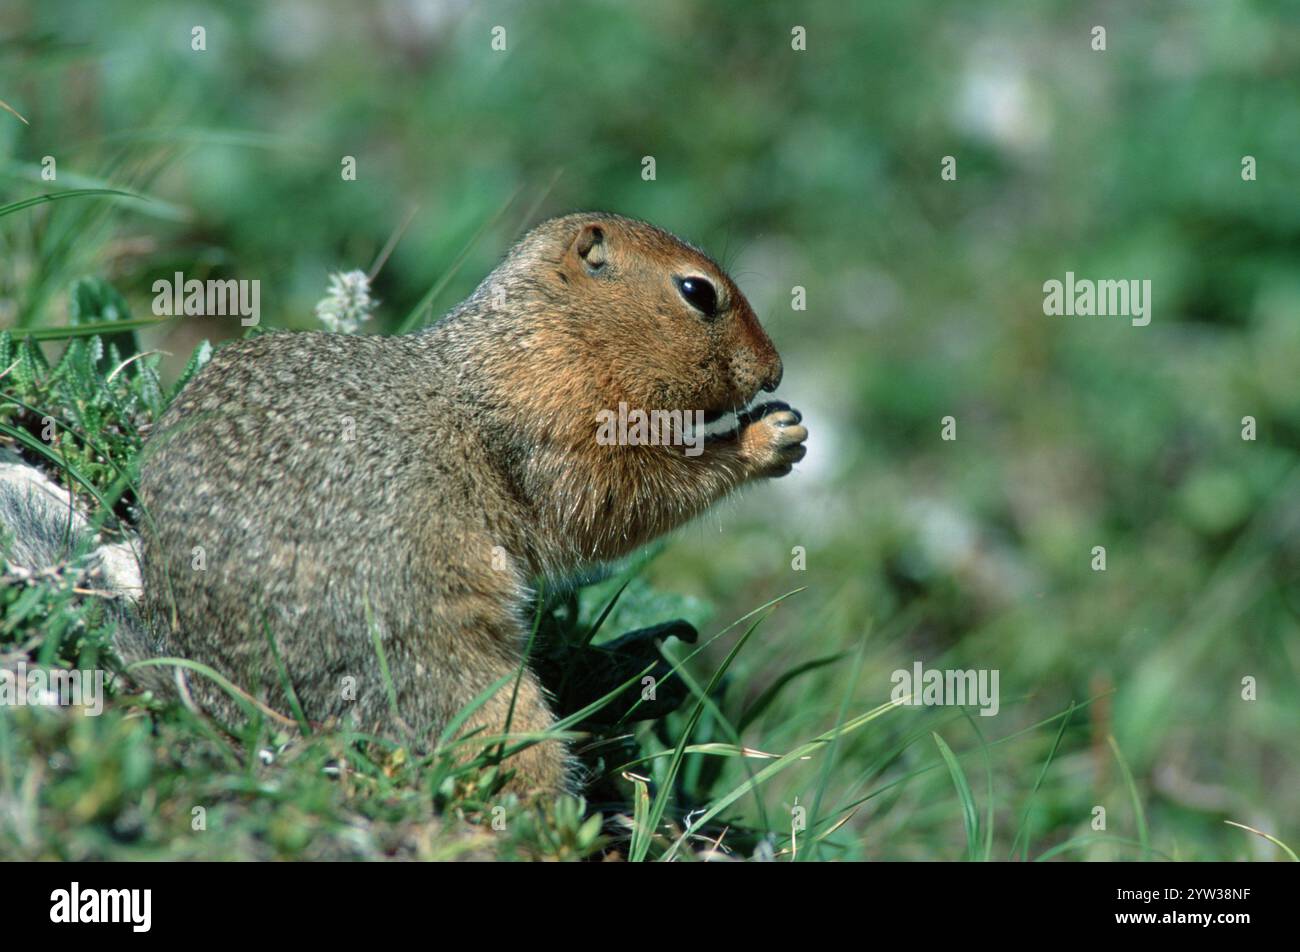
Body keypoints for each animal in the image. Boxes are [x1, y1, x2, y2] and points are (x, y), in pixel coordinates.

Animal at [119, 213, 800, 795]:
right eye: (698, 292)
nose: (774, 371)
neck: (549, 340)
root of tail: (222, 694)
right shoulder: (561, 428)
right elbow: (619, 496)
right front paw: (768, 438)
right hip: (442, 665)